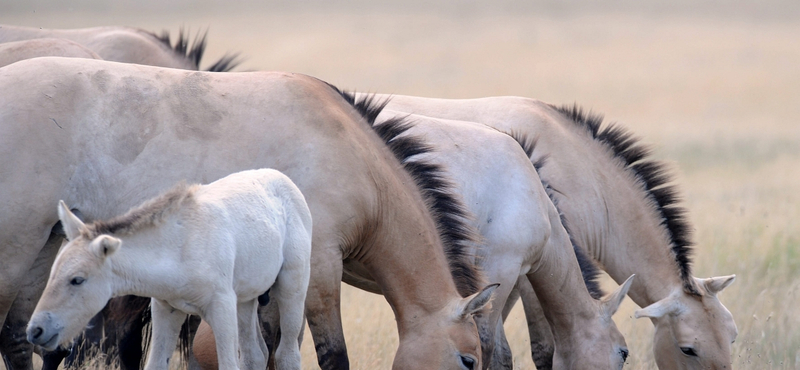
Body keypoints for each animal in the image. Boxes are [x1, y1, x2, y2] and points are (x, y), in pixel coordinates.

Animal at [25, 168, 312, 370]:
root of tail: (285, 181)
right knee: (255, 355)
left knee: (286, 355)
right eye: (53, 274)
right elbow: (155, 365)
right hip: (246, 299)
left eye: (77, 280)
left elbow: (230, 364)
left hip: (292, 289)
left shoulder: (221, 308)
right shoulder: (166, 309)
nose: (35, 331)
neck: (179, 248)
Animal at [368, 95, 736, 370]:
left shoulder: (509, 280)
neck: (575, 167)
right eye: (688, 349)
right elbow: (542, 349)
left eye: (731, 336)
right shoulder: (524, 277)